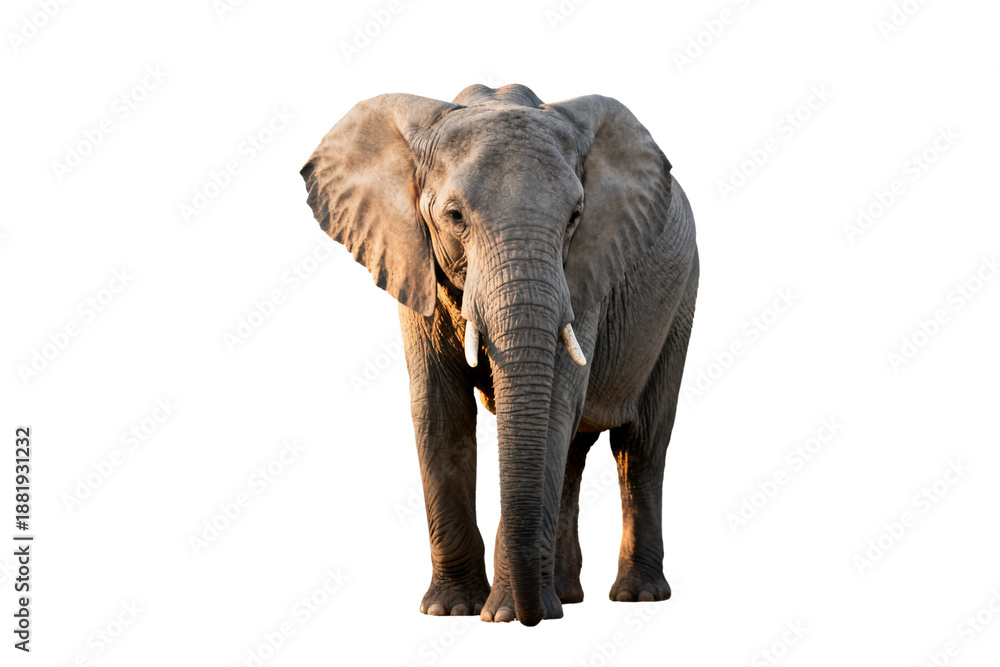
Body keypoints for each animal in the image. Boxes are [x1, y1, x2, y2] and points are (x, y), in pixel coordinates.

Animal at [300, 84, 698, 626]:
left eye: (575, 218)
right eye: (454, 217)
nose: (526, 619)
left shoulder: (584, 273)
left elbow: (552, 408)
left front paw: (503, 614)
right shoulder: (416, 265)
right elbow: (439, 410)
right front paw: (452, 610)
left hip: (680, 299)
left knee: (639, 445)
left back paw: (634, 597)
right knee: (577, 449)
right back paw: (564, 596)